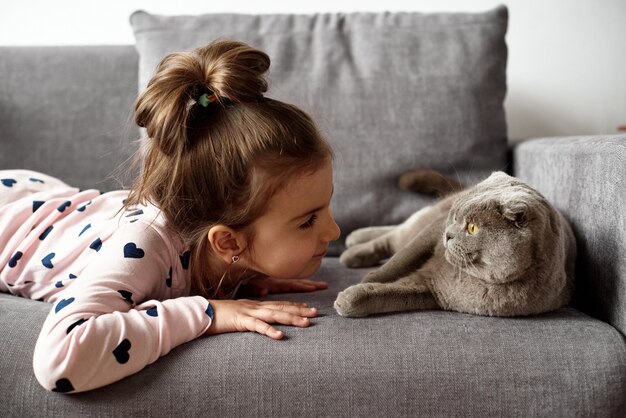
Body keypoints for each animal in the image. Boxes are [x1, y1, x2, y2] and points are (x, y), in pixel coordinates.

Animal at [334, 171, 572, 318]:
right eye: (454, 216)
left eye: (472, 228)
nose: (447, 234)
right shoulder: (432, 232)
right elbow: (398, 262)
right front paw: (367, 279)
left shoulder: (431, 292)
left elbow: (388, 295)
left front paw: (349, 298)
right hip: (425, 221)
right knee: (397, 236)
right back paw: (353, 245)